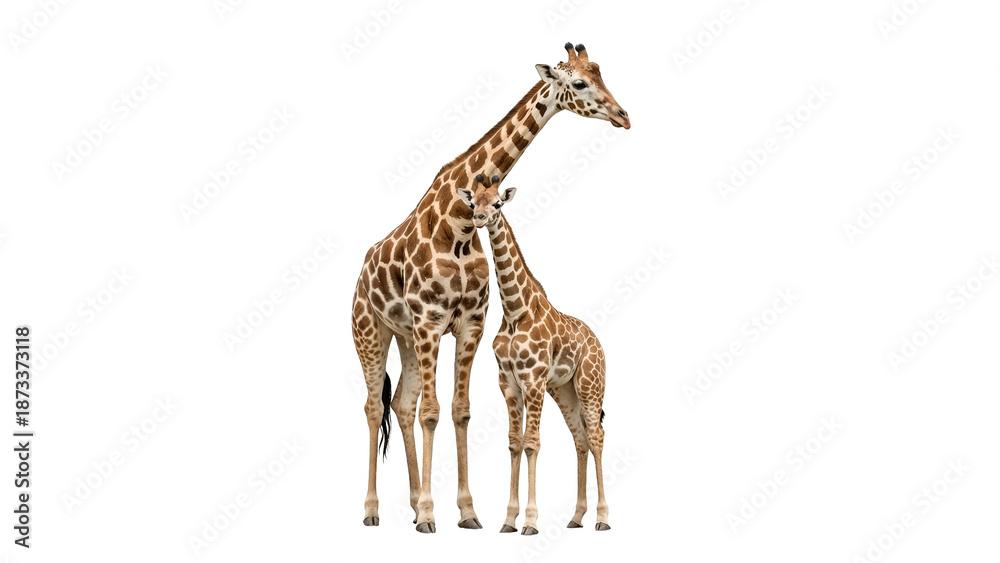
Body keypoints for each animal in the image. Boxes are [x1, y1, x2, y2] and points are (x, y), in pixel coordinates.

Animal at [456, 175, 611, 535]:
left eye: (497, 203)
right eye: (473, 202)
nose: (479, 219)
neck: (515, 311)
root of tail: (598, 342)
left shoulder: (534, 380)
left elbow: (532, 443)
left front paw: (530, 521)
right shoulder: (509, 382)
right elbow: (514, 443)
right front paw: (508, 520)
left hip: (589, 385)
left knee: (597, 436)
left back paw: (602, 518)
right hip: (564, 390)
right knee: (580, 438)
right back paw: (576, 517)